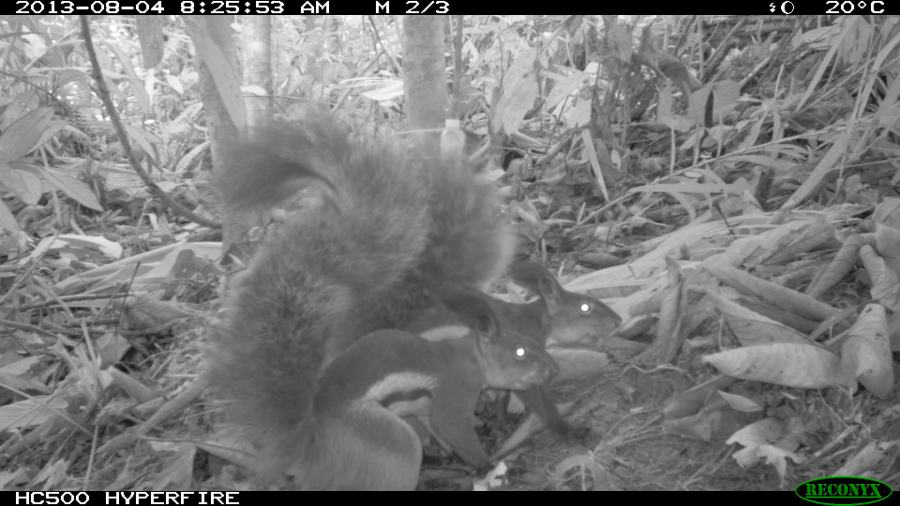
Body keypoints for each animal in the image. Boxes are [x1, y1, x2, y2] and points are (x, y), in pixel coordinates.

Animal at [206, 118, 557, 489]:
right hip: (383, 437)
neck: (469, 351)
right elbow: (453, 427)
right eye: (520, 352)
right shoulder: (454, 390)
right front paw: (487, 466)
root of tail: (308, 445)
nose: (553, 370)